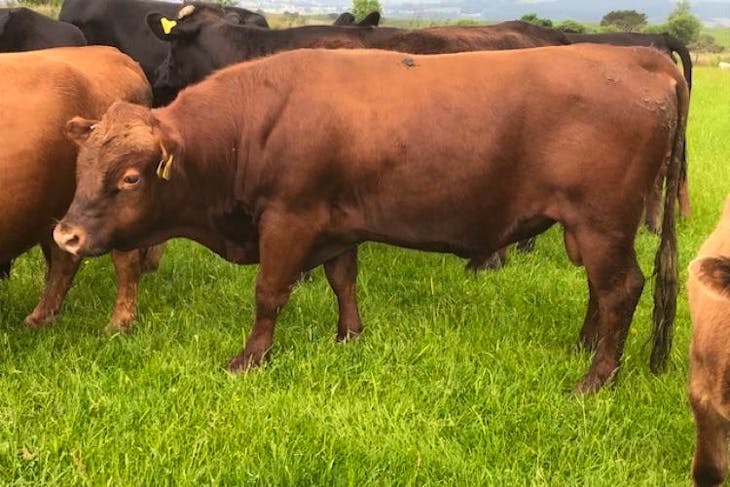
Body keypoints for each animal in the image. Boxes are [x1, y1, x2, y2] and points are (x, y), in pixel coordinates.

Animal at [54, 45, 687, 393]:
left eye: (130, 178)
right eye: (80, 165)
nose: (66, 233)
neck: (251, 124)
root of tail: (640, 56)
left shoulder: (289, 218)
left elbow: (269, 293)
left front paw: (250, 358)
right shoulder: (337, 224)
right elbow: (343, 280)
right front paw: (349, 336)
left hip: (602, 223)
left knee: (621, 289)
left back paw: (595, 378)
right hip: (591, 228)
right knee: (602, 291)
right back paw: (585, 347)